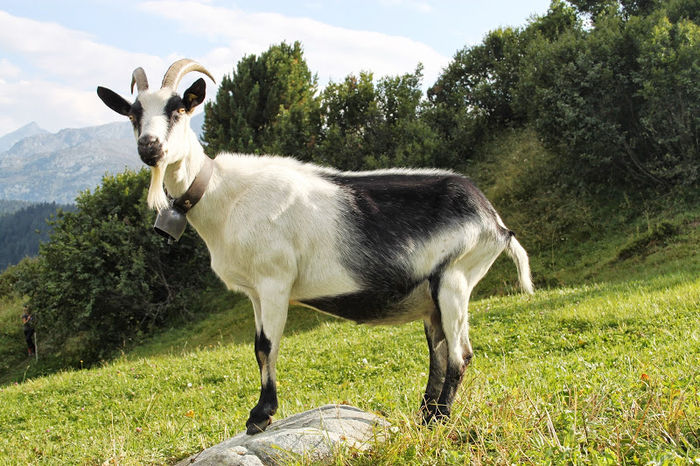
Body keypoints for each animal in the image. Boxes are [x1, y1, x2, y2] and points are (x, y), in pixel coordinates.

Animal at [97, 60, 536, 436]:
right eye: (133, 114)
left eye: (178, 109)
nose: (150, 148)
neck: (225, 193)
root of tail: (495, 221)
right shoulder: (255, 292)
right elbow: (258, 347)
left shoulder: (275, 279)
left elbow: (266, 346)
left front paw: (260, 416)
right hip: (432, 296)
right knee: (440, 352)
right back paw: (426, 417)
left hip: (456, 278)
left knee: (461, 356)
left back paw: (439, 419)